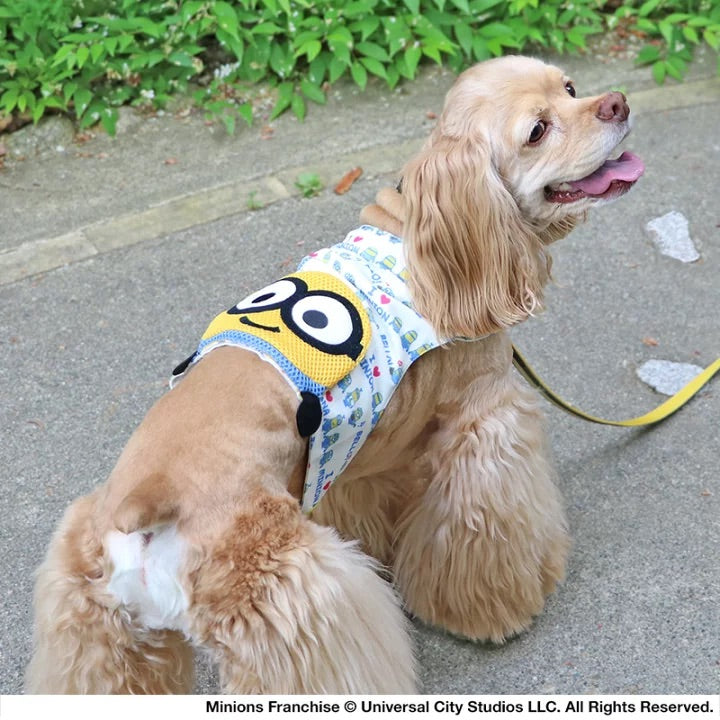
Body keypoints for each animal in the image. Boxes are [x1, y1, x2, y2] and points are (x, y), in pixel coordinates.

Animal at [26, 54, 640, 692]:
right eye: (537, 130)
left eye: (570, 86)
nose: (617, 103)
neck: (422, 234)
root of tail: (145, 501)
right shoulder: (481, 420)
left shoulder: (358, 448)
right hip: (295, 593)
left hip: (98, 625)